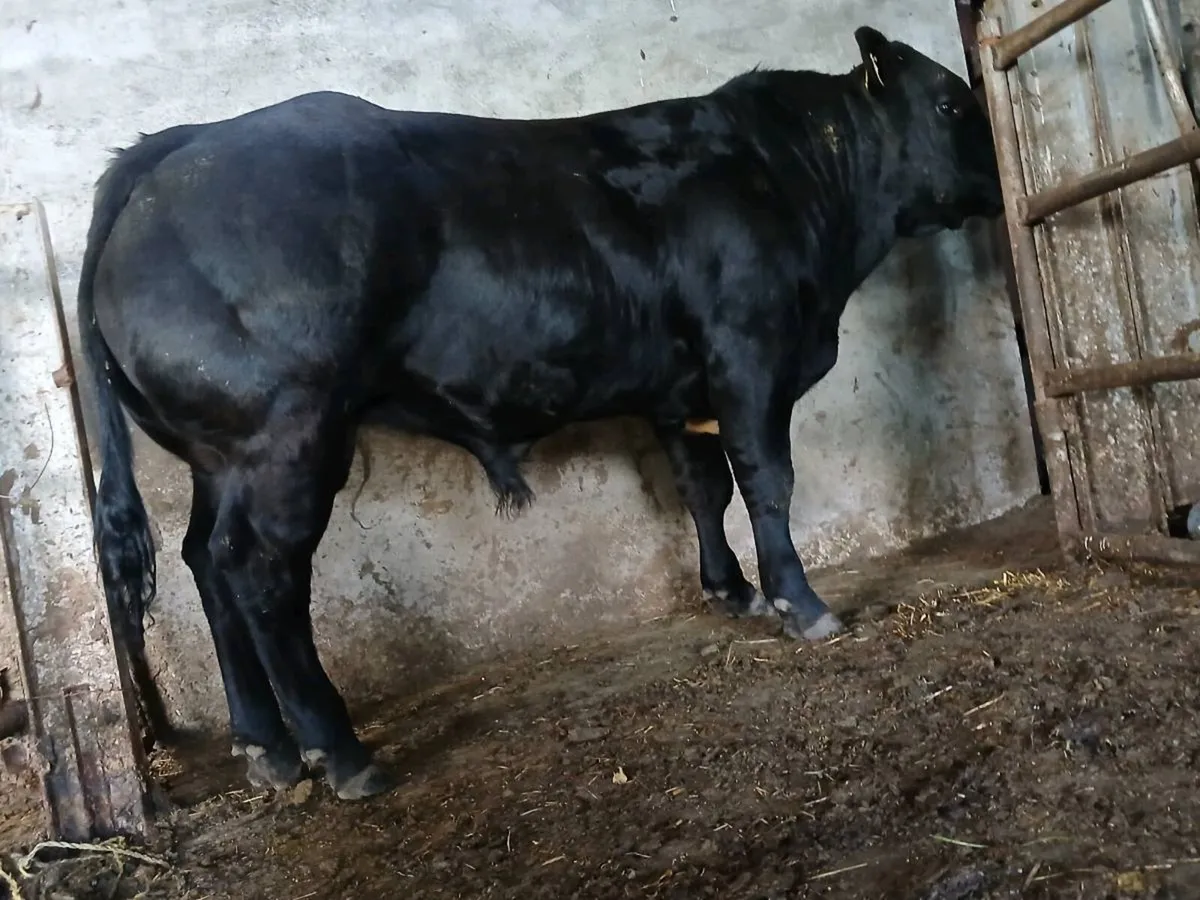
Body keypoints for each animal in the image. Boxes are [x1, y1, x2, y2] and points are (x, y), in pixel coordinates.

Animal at [78, 26, 1004, 801]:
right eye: (952, 104)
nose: (997, 181)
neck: (793, 181)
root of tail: (176, 145)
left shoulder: (680, 389)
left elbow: (704, 487)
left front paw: (729, 589)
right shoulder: (748, 353)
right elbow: (766, 481)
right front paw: (800, 602)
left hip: (219, 454)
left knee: (205, 561)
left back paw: (264, 745)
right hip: (288, 437)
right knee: (261, 575)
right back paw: (338, 750)